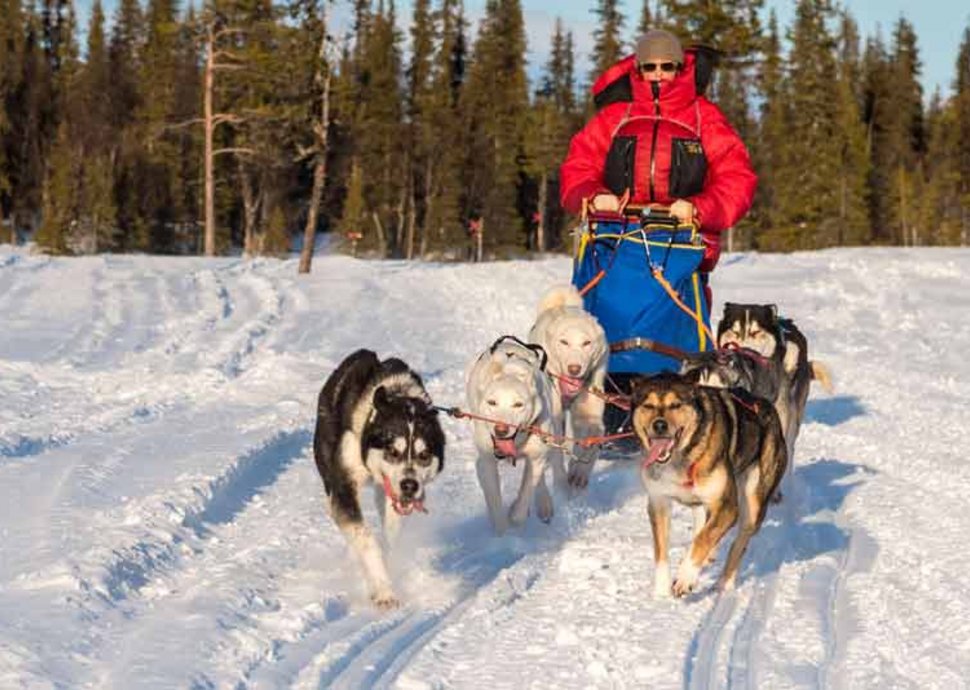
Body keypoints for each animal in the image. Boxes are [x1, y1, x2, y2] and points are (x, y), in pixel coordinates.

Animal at [628, 370, 788, 596]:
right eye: (648, 405)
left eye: (676, 405)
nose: (659, 425)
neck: (680, 458)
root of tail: (766, 406)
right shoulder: (658, 502)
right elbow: (661, 551)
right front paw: (661, 592)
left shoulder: (728, 507)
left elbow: (703, 539)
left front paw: (685, 577)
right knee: (703, 527)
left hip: (753, 503)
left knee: (738, 542)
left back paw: (724, 582)